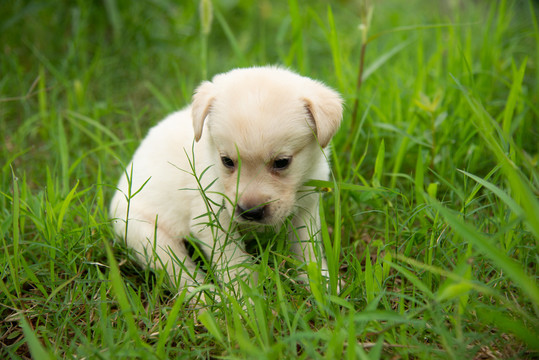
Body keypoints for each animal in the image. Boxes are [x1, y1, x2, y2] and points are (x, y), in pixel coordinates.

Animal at [110, 66, 342, 300]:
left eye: (282, 162)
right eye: (227, 161)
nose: (250, 212)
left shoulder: (307, 207)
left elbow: (307, 250)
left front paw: (323, 285)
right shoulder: (211, 220)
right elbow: (236, 264)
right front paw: (247, 301)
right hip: (146, 236)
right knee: (181, 271)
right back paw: (208, 300)